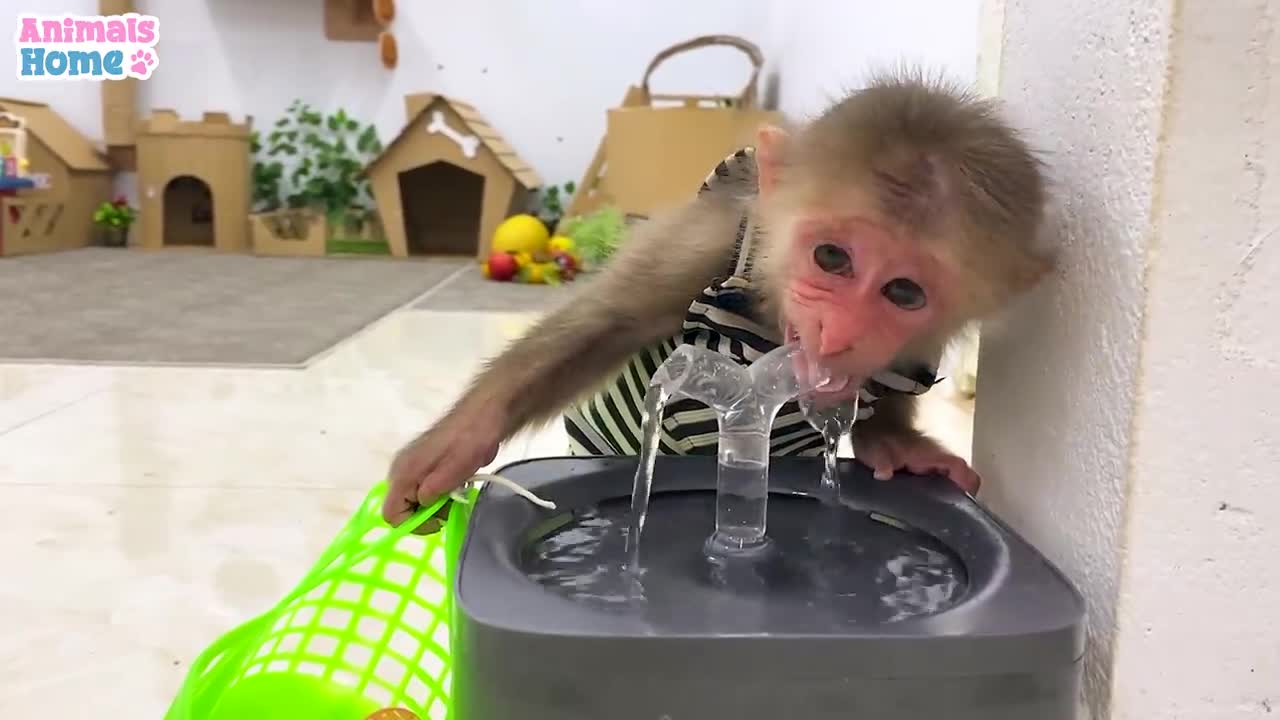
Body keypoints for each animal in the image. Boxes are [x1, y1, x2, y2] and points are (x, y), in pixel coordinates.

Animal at [384, 68, 1054, 527]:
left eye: (904, 291)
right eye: (831, 258)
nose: (839, 332)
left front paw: (894, 440)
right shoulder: (708, 243)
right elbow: (606, 321)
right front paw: (458, 440)